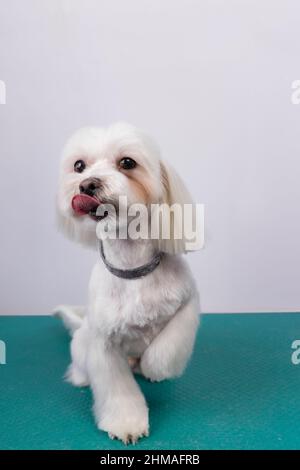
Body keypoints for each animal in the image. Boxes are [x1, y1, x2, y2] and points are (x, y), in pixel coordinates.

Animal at [54, 122, 199, 444]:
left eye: (127, 162)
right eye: (79, 166)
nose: (87, 185)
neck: (133, 270)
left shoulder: (189, 305)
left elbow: (166, 346)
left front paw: (155, 367)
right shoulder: (103, 344)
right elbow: (117, 389)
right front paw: (126, 424)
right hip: (82, 341)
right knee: (80, 363)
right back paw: (81, 377)